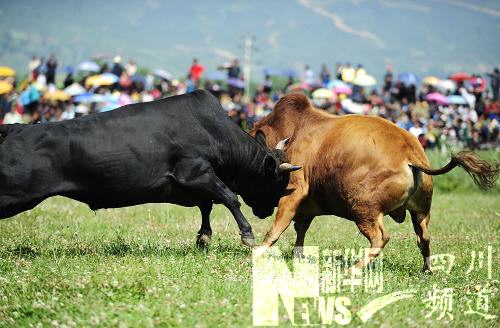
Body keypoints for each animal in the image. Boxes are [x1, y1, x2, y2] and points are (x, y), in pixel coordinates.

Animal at [0, 89, 298, 246]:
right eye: (276, 179)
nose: (268, 210)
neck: (215, 132)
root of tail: (17, 128)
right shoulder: (196, 171)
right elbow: (229, 198)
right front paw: (247, 235)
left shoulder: (199, 181)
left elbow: (207, 206)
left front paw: (203, 238)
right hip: (15, 192)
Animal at [252, 92, 498, 272]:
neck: (293, 132)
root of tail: (411, 152)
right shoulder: (308, 206)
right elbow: (300, 228)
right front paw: (297, 254)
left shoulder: (294, 190)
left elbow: (278, 227)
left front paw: (257, 253)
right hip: (420, 211)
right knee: (424, 238)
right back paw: (427, 269)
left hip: (363, 209)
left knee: (381, 238)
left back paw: (354, 268)